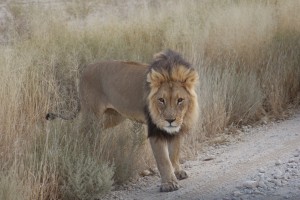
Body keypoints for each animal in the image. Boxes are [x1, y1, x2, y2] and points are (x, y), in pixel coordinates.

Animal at [45, 49, 198, 192]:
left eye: (180, 100)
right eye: (161, 100)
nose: (170, 120)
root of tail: (85, 70)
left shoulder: (179, 126)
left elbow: (175, 151)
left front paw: (178, 172)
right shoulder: (155, 129)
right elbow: (163, 160)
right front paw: (169, 184)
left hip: (114, 116)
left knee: (96, 130)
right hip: (92, 114)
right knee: (83, 131)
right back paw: (82, 151)